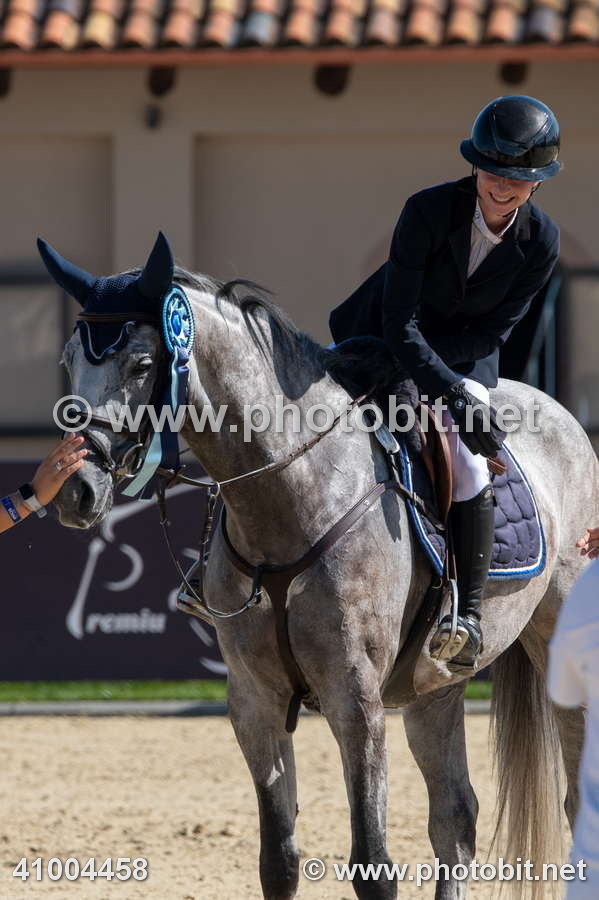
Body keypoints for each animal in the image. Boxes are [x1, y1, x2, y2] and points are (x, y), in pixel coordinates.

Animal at [53, 255, 597, 900]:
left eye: (140, 364)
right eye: (67, 361)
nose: (74, 490)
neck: (290, 494)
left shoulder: (354, 697)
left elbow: (372, 862)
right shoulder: (255, 701)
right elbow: (279, 860)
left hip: (562, 653)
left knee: (572, 802)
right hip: (433, 686)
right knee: (455, 816)